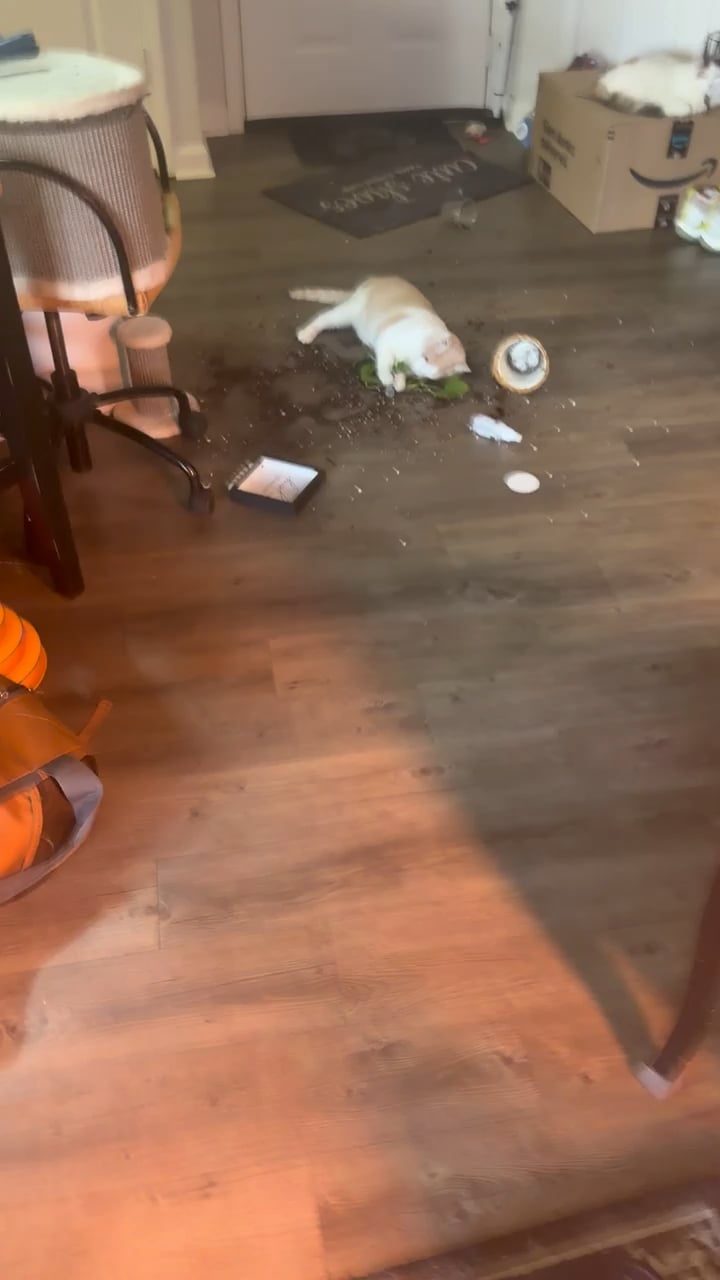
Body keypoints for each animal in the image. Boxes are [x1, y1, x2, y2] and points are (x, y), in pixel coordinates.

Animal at [290, 276, 469, 393]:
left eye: (437, 374)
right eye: (426, 358)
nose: (422, 371)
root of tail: (378, 279)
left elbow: (401, 373)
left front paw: (399, 383)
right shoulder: (385, 342)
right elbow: (384, 363)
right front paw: (387, 378)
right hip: (346, 313)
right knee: (324, 318)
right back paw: (306, 334)